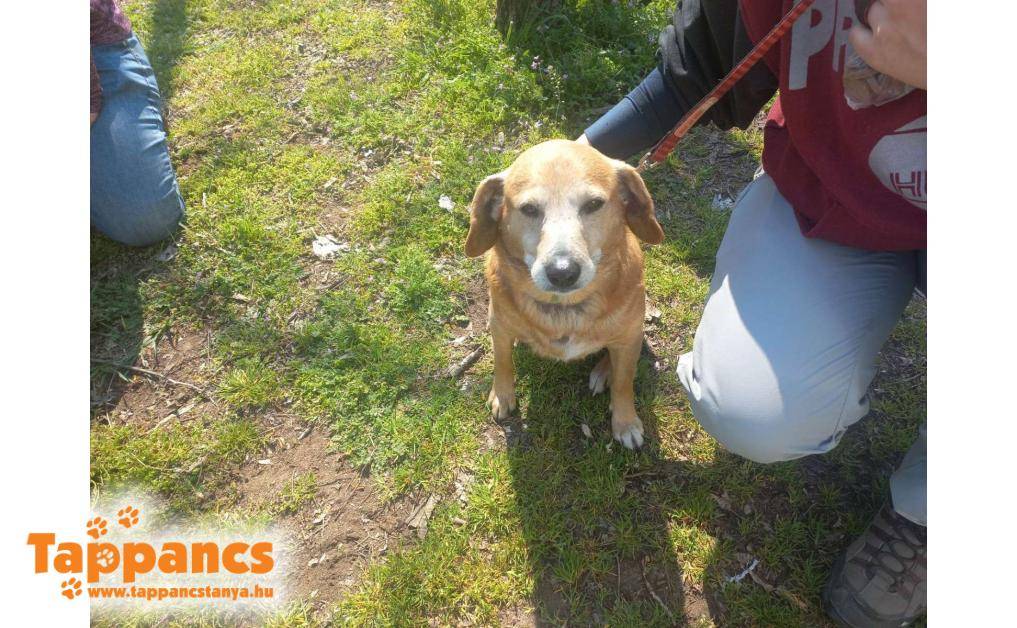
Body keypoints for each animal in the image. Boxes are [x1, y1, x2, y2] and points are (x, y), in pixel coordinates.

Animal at [465, 139, 664, 449]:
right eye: (529, 209)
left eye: (594, 204)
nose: (562, 271)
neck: (565, 310)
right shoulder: (499, 326)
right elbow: (502, 361)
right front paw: (503, 394)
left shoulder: (629, 337)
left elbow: (624, 383)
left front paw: (625, 421)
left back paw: (603, 371)